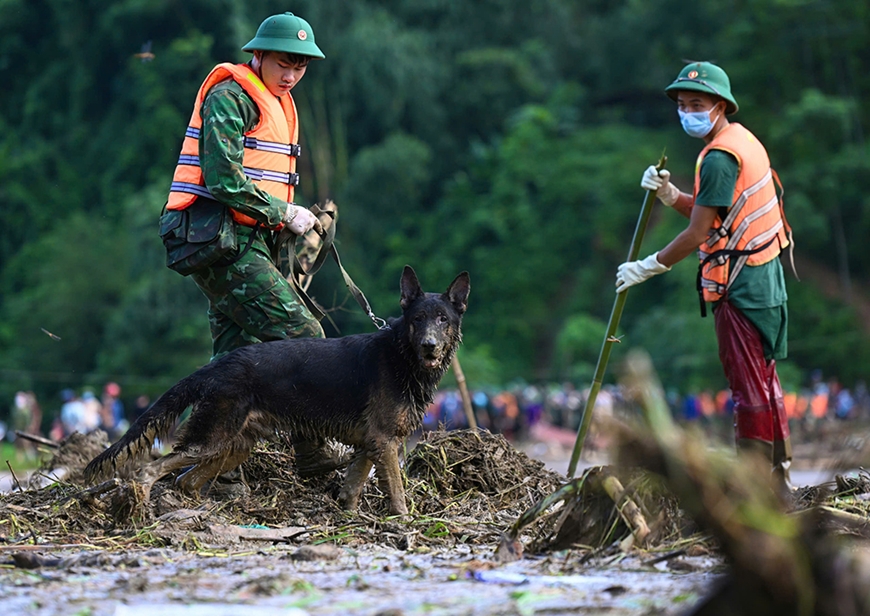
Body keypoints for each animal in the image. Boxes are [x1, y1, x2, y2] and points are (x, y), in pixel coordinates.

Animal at [83, 266, 470, 516]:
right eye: (417, 320)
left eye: (443, 320)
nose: (430, 347)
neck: (401, 354)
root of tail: (219, 364)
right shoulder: (385, 442)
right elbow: (397, 490)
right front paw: (404, 523)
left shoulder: (368, 445)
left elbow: (352, 488)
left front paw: (349, 519)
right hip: (210, 440)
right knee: (151, 470)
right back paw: (143, 505)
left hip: (231, 446)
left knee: (186, 481)